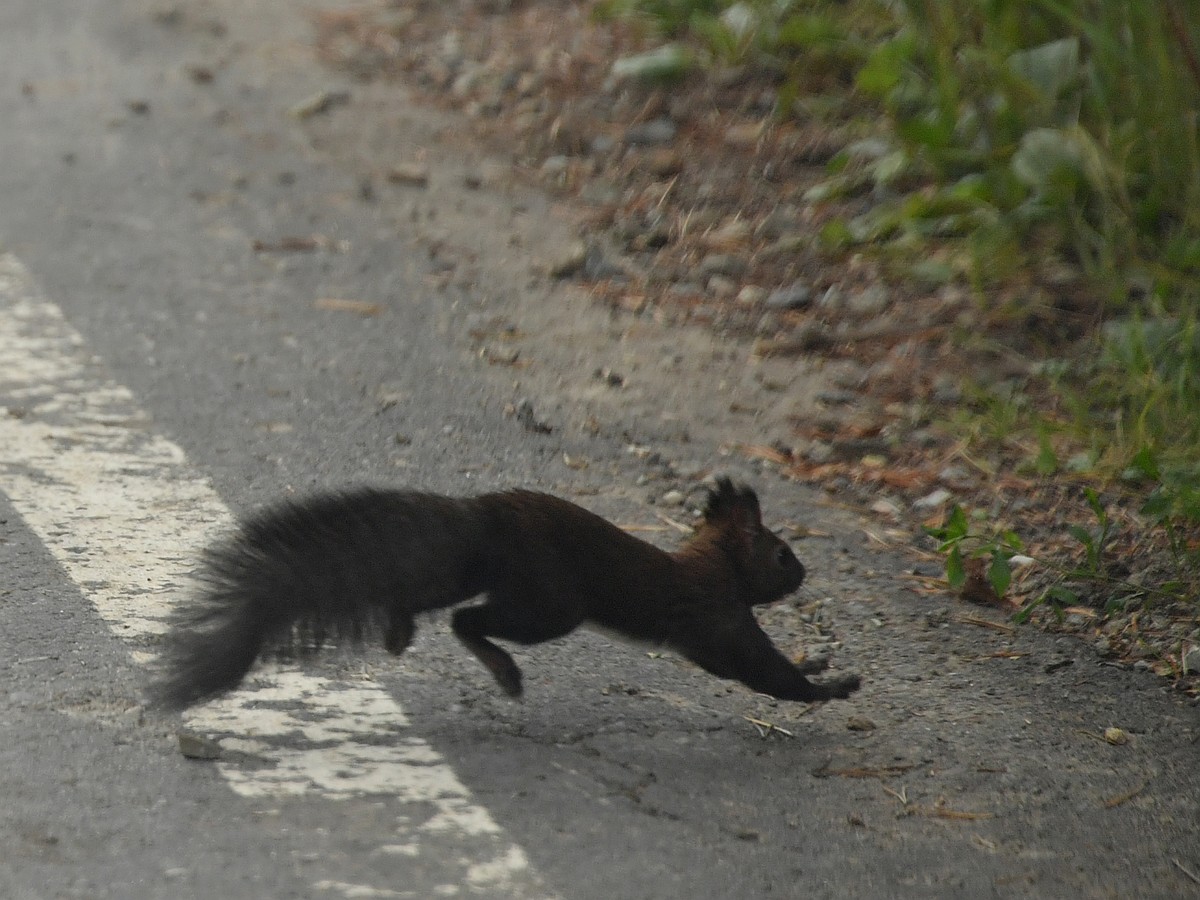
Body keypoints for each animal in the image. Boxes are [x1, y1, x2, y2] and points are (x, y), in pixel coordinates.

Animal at [152, 480, 864, 710]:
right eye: (783, 553)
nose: (803, 575)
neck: (713, 564)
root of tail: (484, 520)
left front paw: (826, 665)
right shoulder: (720, 621)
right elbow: (764, 672)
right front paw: (832, 686)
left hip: (473, 572)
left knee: (425, 594)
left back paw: (399, 630)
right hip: (549, 603)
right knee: (469, 620)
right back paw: (502, 670)